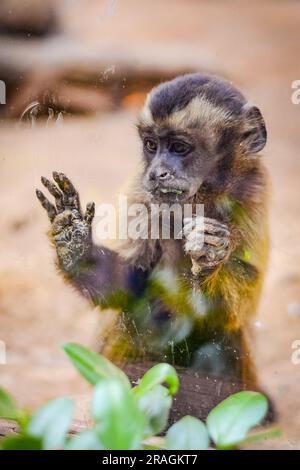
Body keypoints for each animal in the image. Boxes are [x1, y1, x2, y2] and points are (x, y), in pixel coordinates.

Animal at [36, 73, 268, 388]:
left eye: (179, 147)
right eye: (151, 145)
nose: (157, 172)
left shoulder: (253, 188)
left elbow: (240, 306)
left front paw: (210, 256)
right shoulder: (140, 189)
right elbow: (128, 285)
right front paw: (75, 243)